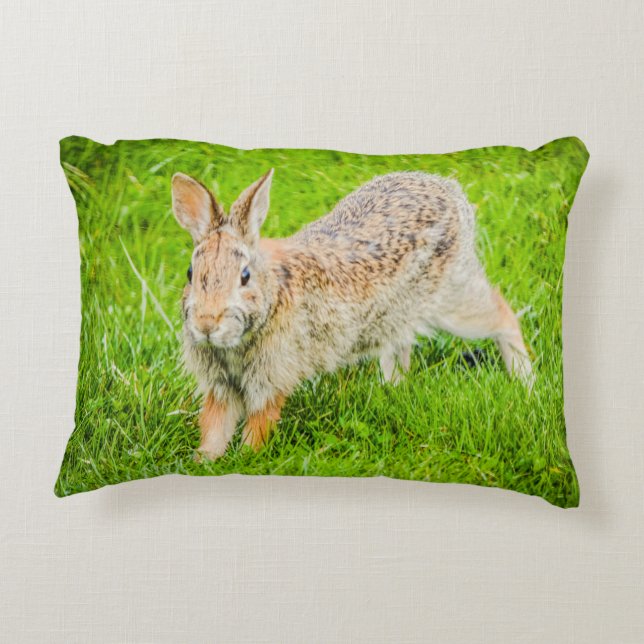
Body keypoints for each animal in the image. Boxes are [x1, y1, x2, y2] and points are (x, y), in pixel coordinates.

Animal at [171, 169, 533, 460]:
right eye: (190, 274)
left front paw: (246, 456)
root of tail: (451, 192)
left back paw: (524, 380)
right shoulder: (219, 387)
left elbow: (259, 422)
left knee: (503, 315)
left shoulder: (271, 378)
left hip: (450, 301)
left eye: (244, 276)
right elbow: (215, 424)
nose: (206, 324)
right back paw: (392, 388)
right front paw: (205, 459)